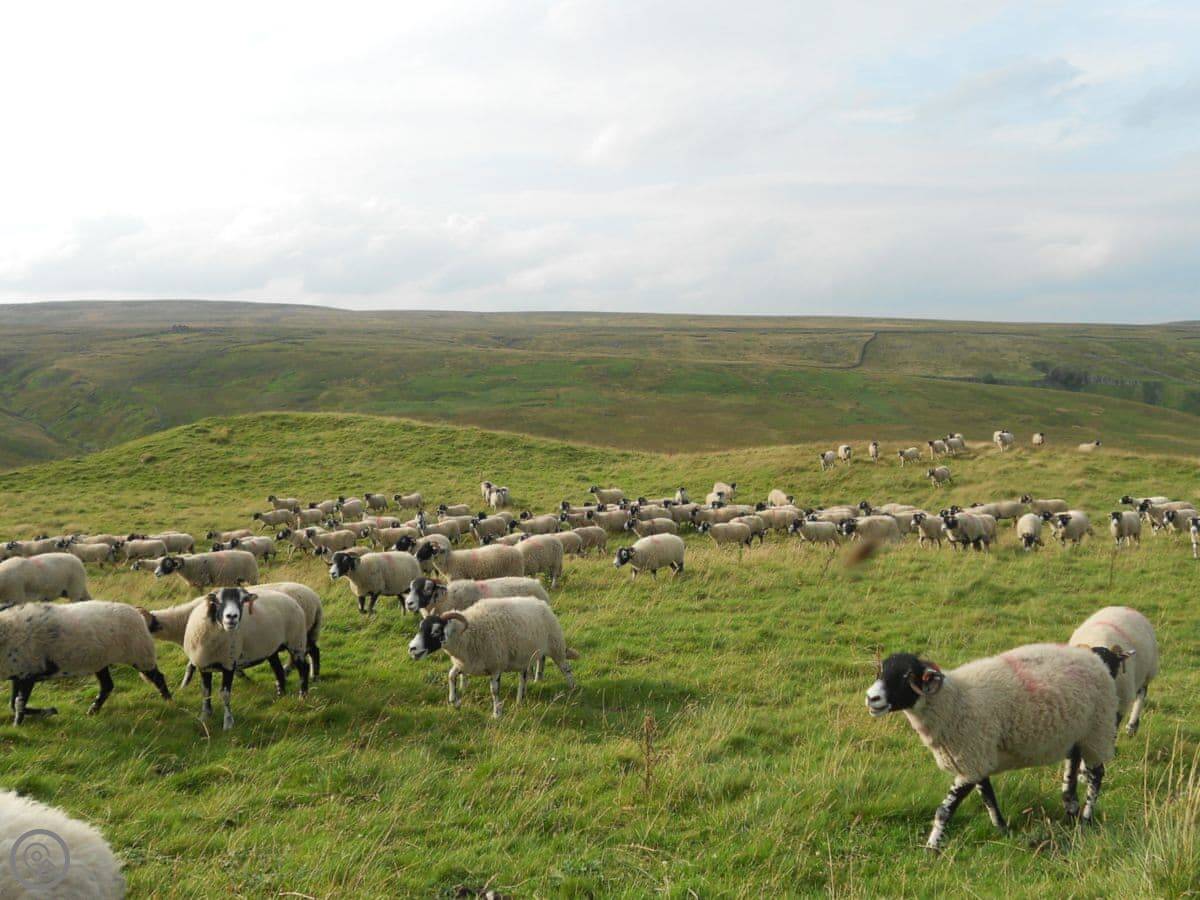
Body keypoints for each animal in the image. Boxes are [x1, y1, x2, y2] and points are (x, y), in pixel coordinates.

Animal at [0, 601, 172, 725]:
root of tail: (138, 614)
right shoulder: (19, 675)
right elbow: (13, 704)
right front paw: (49, 711)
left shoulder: (29, 673)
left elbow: (18, 704)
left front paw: (20, 723)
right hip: (101, 661)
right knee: (107, 686)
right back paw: (93, 711)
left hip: (140, 654)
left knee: (158, 677)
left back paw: (169, 701)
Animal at [181, 587, 309, 730]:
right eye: (218, 601)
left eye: (242, 601)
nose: (232, 616)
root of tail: (291, 599)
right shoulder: (204, 665)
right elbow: (205, 692)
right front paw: (205, 716)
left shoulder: (229, 663)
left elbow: (225, 694)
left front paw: (228, 722)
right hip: (272, 648)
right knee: (279, 670)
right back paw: (281, 696)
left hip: (296, 642)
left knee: (304, 668)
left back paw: (302, 696)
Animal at [407, 596, 578, 718]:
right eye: (421, 627)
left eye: (436, 631)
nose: (412, 648)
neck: (466, 635)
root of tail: (541, 603)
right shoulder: (466, 664)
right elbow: (451, 676)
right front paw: (454, 701)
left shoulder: (496, 665)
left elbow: (494, 690)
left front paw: (497, 713)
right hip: (524, 656)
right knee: (523, 677)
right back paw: (520, 700)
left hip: (556, 646)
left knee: (566, 668)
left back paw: (572, 689)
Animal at [865, 643, 1118, 849]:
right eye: (881, 672)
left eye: (906, 676)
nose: (871, 698)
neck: (952, 702)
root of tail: (1095, 659)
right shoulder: (976, 760)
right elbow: (988, 798)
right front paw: (1002, 829)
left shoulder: (971, 759)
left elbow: (944, 811)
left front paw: (931, 848)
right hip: (1077, 735)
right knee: (1072, 767)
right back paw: (1071, 810)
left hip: (1098, 730)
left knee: (1096, 775)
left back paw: (1085, 819)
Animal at [1070, 606, 1158, 735]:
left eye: (1113, 667)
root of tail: (1123, 607)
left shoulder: (1119, 707)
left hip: (1147, 672)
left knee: (1141, 693)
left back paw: (1132, 726)